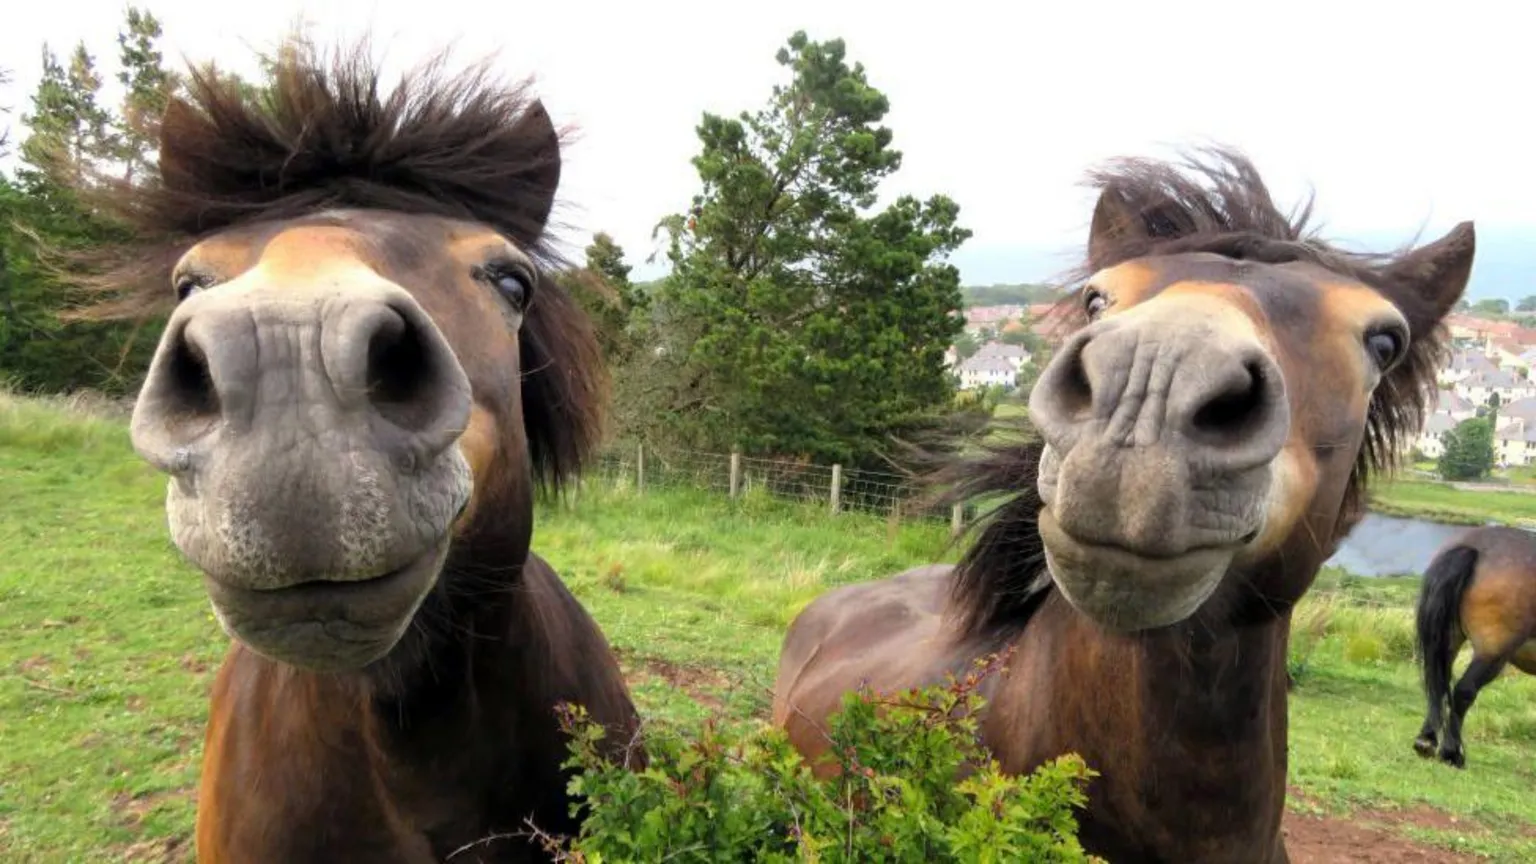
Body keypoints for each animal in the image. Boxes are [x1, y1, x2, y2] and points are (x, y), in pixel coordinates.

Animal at [1413, 525, 1536, 768]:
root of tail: (1474, 549)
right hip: (1492, 653)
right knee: (1464, 690)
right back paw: (1451, 753)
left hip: (1449, 638)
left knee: (1438, 681)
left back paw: (1426, 741)